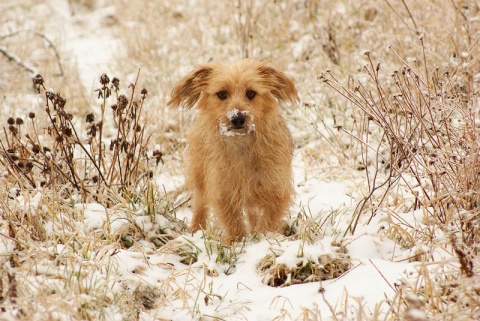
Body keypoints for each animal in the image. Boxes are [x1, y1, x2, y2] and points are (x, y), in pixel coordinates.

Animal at [168, 58, 296, 241]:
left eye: (251, 93)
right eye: (222, 94)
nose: (237, 118)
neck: (241, 143)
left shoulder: (275, 188)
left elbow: (268, 219)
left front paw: (262, 239)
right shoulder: (223, 189)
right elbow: (232, 221)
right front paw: (237, 241)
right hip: (200, 173)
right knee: (200, 202)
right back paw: (196, 230)